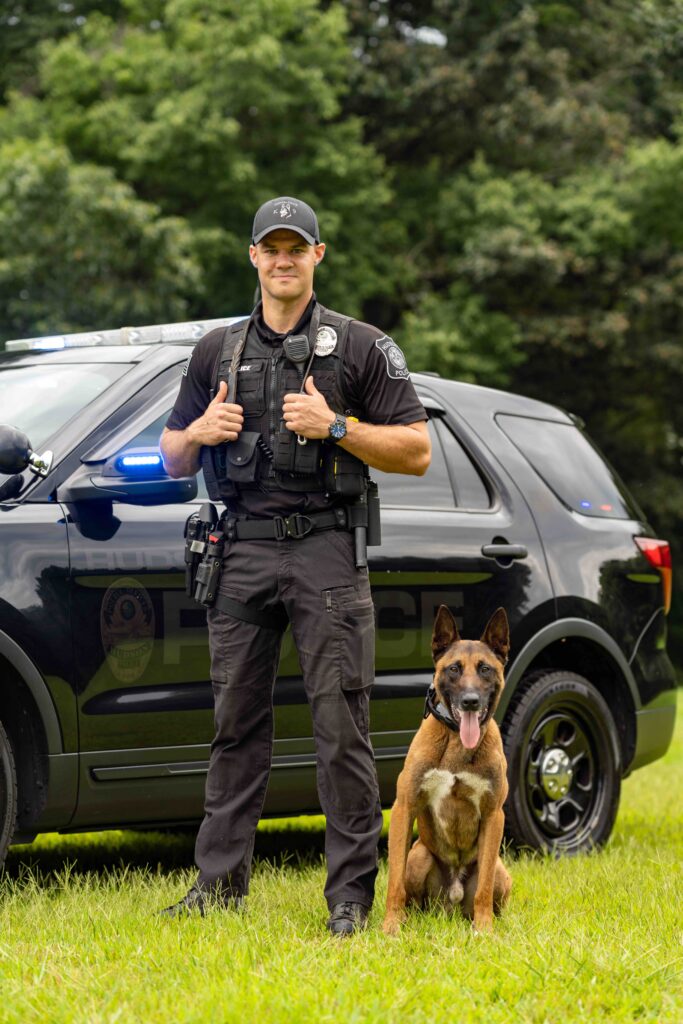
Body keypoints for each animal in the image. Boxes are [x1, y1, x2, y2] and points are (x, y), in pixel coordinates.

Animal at [382, 606, 509, 937]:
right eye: (454, 669)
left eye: (485, 669)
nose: (470, 701)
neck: (455, 743)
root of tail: (452, 900)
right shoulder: (404, 808)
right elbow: (394, 882)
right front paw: (391, 925)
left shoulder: (494, 815)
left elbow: (483, 889)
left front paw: (484, 929)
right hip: (419, 856)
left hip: (501, 870)